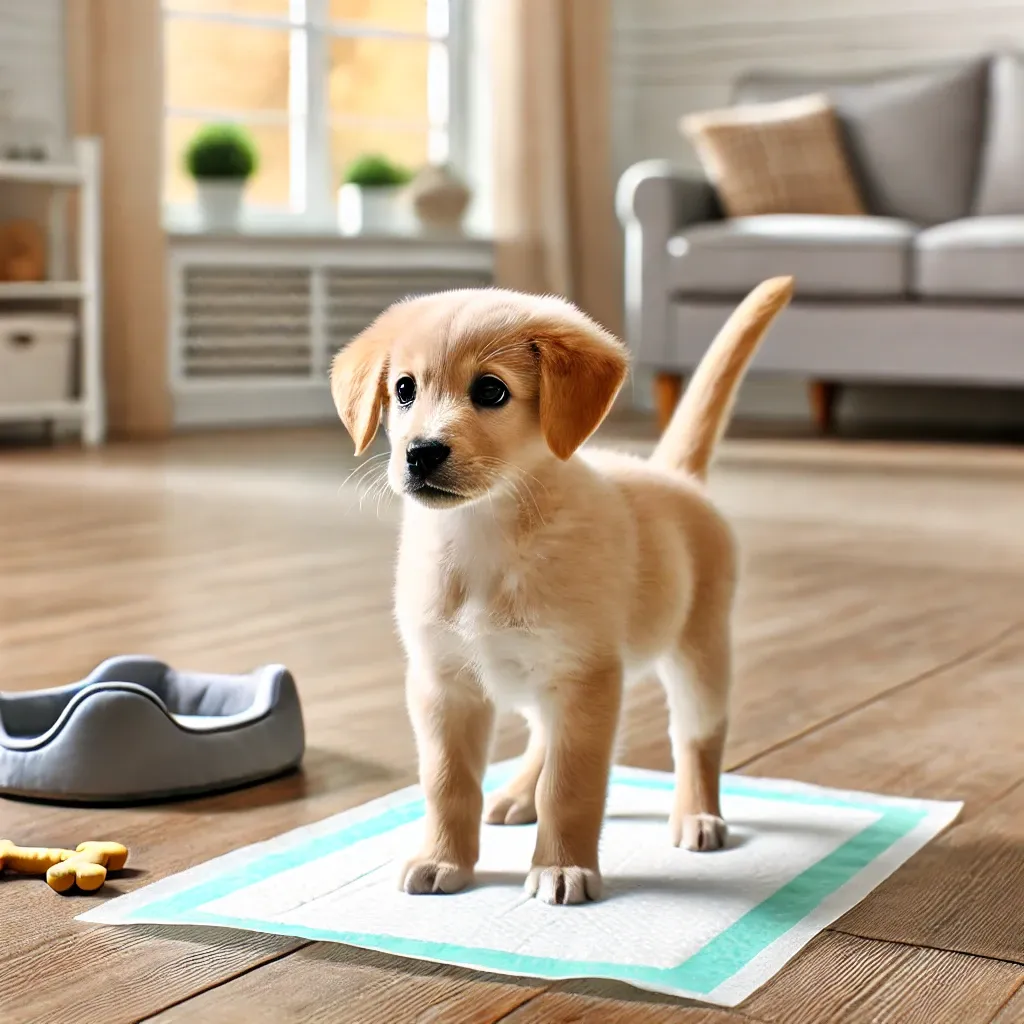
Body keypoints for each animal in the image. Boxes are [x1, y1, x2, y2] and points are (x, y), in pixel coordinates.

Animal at [331, 274, 794, 905]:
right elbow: (448, 783)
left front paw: (562, 867)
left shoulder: (585, 677)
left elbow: (571, 786)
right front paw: (442, 857)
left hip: (699, 651)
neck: (485, 537)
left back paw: (698, 815)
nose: (420, 452)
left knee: (697, 738)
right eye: (404, 389)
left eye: (491, 390)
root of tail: (674, 475)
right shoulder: (442, 685)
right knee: (541, 739)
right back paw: (517, 794)